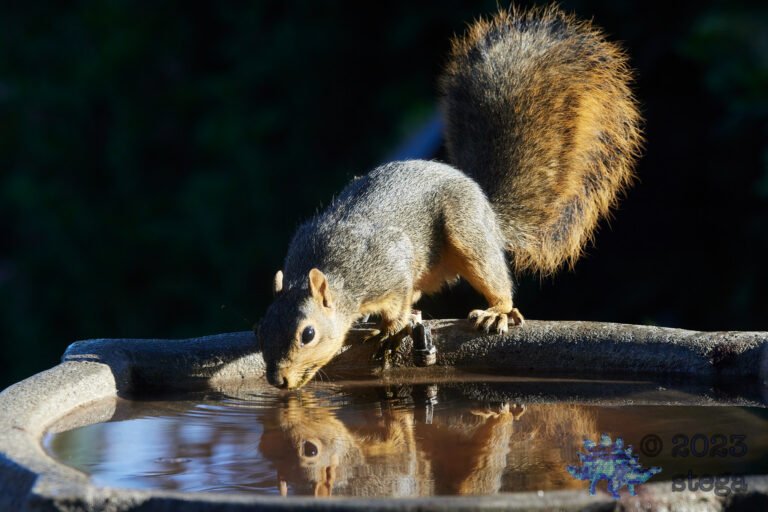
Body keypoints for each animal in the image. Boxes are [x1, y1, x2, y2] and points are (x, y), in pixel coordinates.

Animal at [257, 5, 642, 389]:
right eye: (260, 330)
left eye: (308, 334)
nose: (278, 380)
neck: (337, 275)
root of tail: (486, 205)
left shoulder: (390, 267)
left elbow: (397, 306)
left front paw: (387, 333)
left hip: (466, 232)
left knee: (492, 277)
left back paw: (496, 311)